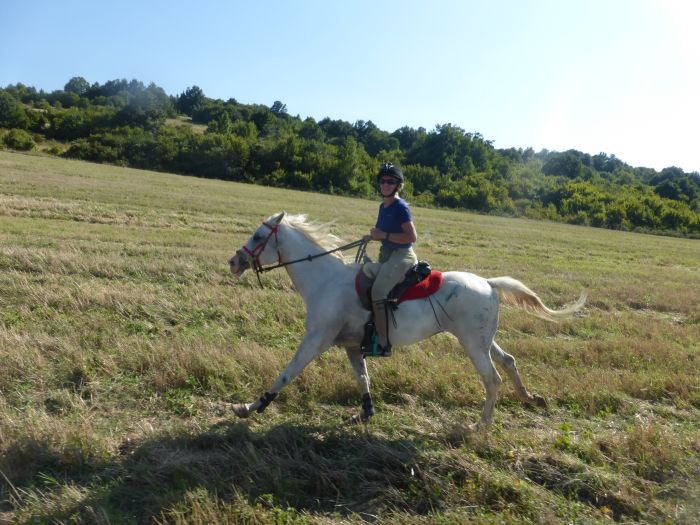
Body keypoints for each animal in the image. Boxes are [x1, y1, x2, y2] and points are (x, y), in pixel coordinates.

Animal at [230, 211, 584, 428]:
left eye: (258, 235)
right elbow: (363, 378)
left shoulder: (317, 339)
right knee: (509, 361)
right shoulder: (350, 345)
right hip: (484, 340)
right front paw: (365, 414)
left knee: (492, 379)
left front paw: (251, 407)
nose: (234, 261)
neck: (326, 280)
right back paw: (530, 398)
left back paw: (479, 426)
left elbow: (287, 373)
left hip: (472, 343)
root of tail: (488, 282)